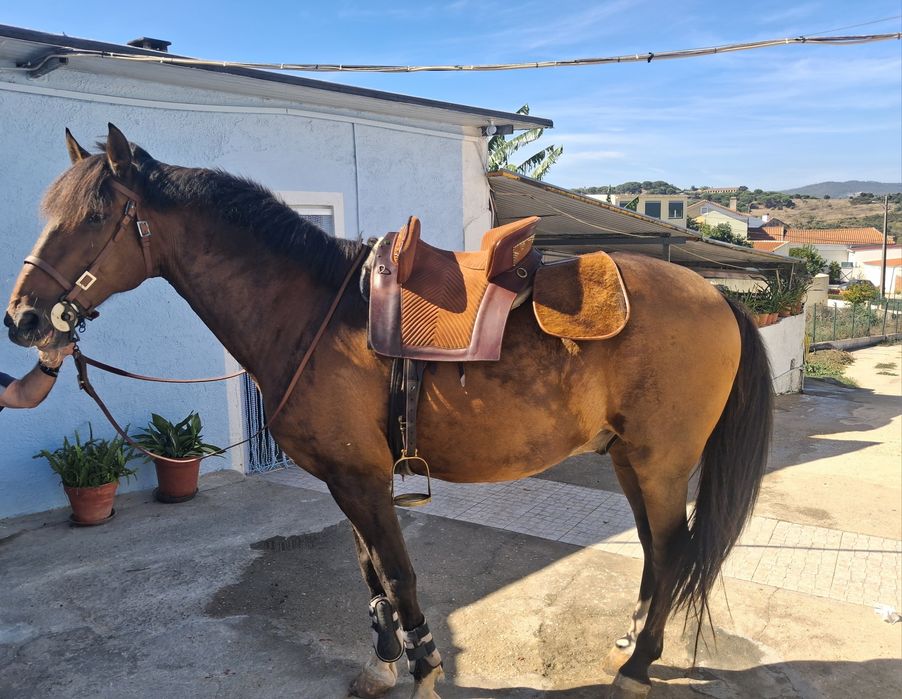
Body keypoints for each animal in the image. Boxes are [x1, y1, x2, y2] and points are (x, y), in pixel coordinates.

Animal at [5, 124, 772, 698]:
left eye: (96, 216)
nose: (22, 318)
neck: (313, 310)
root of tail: (717, 297)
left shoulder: (365, 481)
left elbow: (398, 573)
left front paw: (426, 668)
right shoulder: (343, 482)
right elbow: (371, 573)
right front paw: (381, 664)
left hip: (661, 461)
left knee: (671, 548)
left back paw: (639, 664)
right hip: (628, 459)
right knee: (654, 548)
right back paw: (634, 639)